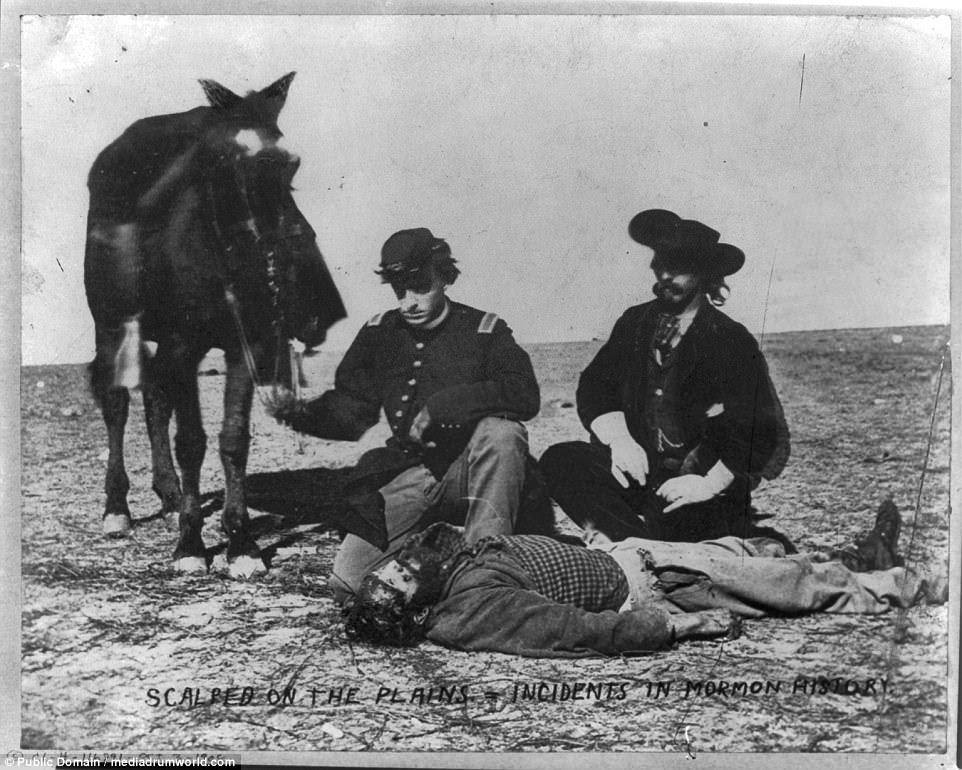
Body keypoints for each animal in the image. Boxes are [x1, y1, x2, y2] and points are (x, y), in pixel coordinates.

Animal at [83, 73, 344, 576]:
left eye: (292, 164)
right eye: (224, 162)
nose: (314, 310)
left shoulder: (247, 346)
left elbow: (232, 440)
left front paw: (241, 542)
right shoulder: (184, 345)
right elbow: (191, 441)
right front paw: (190, 545)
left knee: (155, 401)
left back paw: (168, 493)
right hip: (112, 327)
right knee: (118, 404)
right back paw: (117, 509)